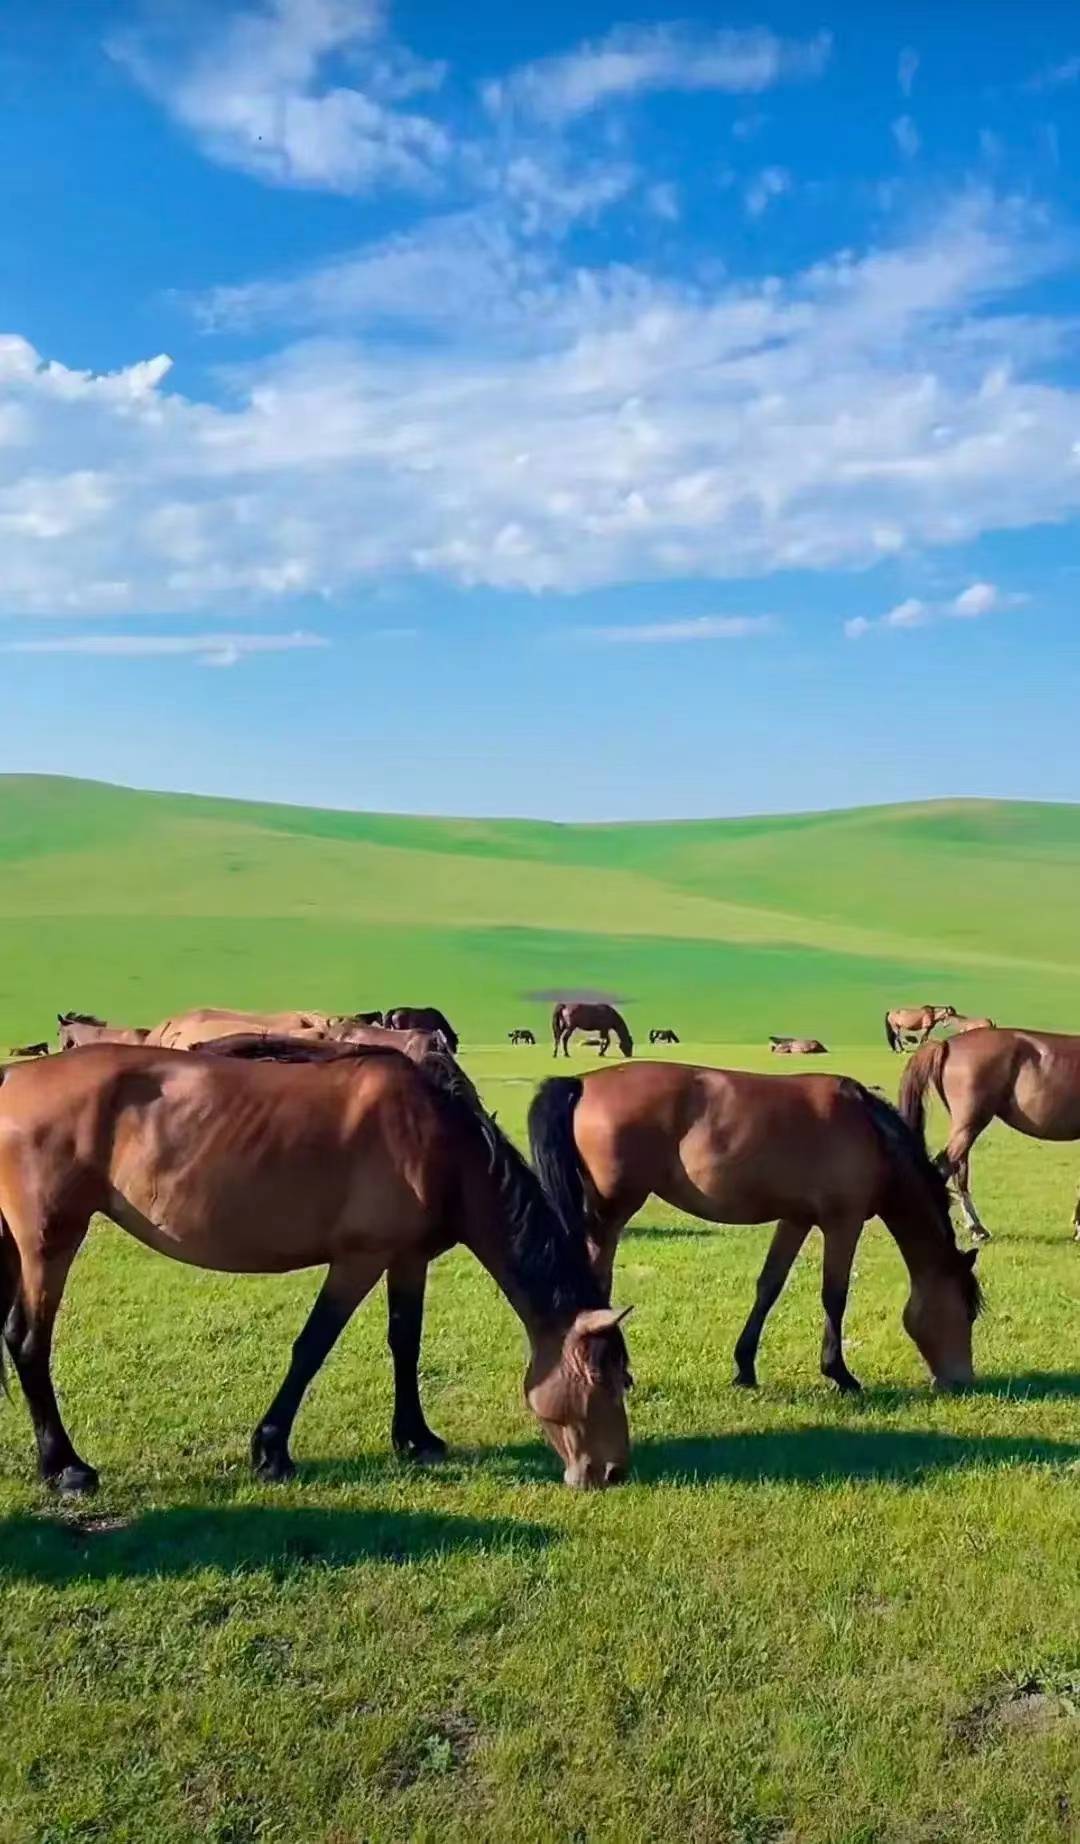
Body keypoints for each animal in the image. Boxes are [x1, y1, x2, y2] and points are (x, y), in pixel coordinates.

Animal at [0, 1047, 630, 1489]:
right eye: (607, 1379)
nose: (613, 1472)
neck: (438, 1145)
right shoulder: (358, 1259)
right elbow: (312, 1347)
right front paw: (271, 1450)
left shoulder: (406, 1258)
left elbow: (405, 1341)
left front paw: (415, 1438)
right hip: (49, 1242)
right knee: (29, 1342)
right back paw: (65, 1467)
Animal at [527, 1062, 980, 1386]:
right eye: (967, 1312)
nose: (962, 1380)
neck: (869, 1132)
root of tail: (582, 1083)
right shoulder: (843, 1222)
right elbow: (834, 1295)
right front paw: (840, 1373)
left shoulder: (796, 1220)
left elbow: (769, 1287)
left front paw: (745, 1368)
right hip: (612, 1214)